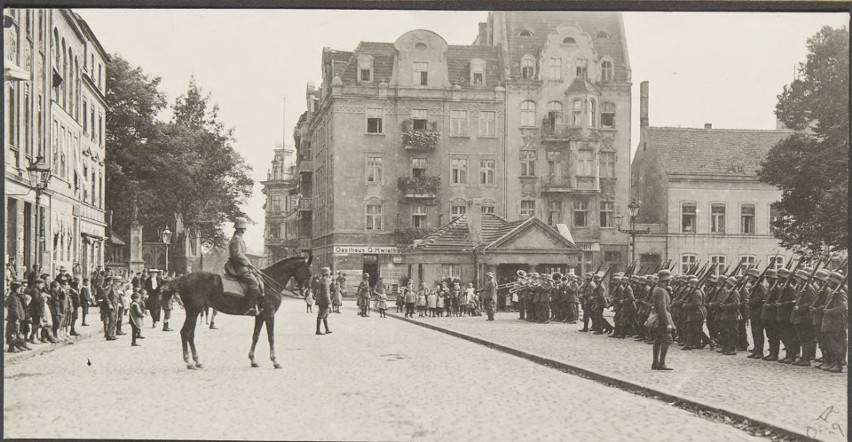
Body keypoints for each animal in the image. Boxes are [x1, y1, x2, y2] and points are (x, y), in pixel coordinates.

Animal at [161, 256, 312, 370]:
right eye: (309, 273)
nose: (305, 292)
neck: (269, 282)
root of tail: (183, 278)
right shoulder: (270, 314)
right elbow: (271, 337)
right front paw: (275, 361)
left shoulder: (260, 316)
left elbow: (255, 336)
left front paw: (253, 360)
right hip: (193, 311)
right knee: (186, 332)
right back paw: (190, 362)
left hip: (194, 312)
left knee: (189, 334)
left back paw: (197, 361)